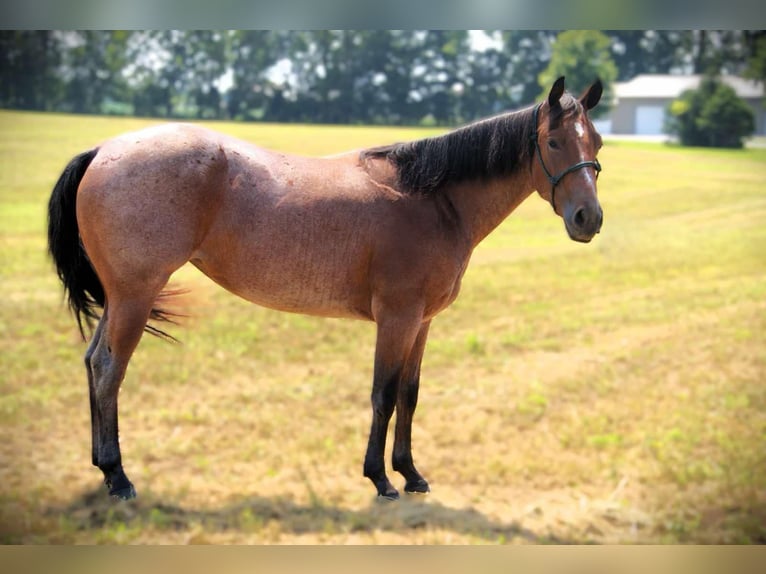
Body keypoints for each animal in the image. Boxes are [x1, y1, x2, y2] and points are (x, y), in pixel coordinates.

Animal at [47, 76, 604, 501]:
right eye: (553, 142)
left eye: (595, 143)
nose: (588, 218)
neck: (433, 198)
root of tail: (104, 150)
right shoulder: (397, 318)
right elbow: (383, 395)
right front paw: (380, 479)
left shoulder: (421, 322)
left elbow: (410, 395)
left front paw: (411, 473)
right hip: (134, 296)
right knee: (109, 370)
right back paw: (118, 477)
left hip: (121, 298)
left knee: (93, 361)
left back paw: (101, 469)